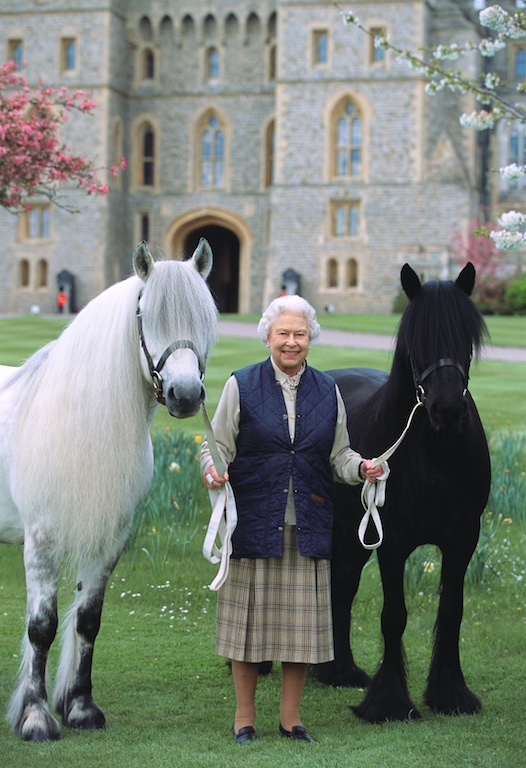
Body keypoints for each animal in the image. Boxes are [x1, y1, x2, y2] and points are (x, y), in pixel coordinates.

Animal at [0, 238, 219, 736]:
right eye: (145, 314)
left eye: (205, 316)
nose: (185, 395)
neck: (75, 422)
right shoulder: (41, 541)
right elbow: (41, 626)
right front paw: (36, 716)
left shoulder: (109, 539)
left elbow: (88, 621)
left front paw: (81, 707)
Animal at [318, 262, 496, 720]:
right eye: (417, 342)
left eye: (466, 337)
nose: (447, 409)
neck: (435, 455)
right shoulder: (393, 541)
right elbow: (393, 615)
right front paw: (389, 701)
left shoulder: (463, 537)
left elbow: (451, 610)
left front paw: (451, 694)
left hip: (354, 536)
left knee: (342, 587)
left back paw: (340, 671)